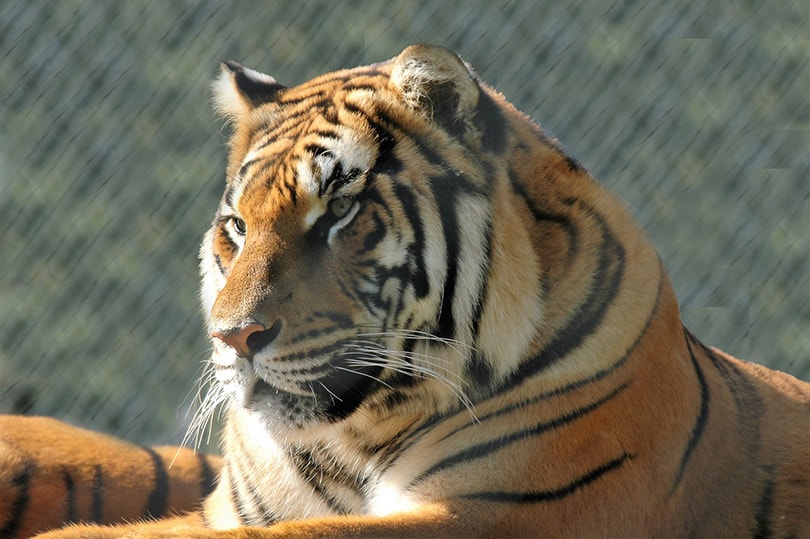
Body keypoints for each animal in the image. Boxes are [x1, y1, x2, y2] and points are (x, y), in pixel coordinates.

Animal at [2, 43, 809, 537]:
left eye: (339, 211)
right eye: (236, 225)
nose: (234, 337)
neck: (348, 442)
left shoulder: (496, 512)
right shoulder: (228, 512)